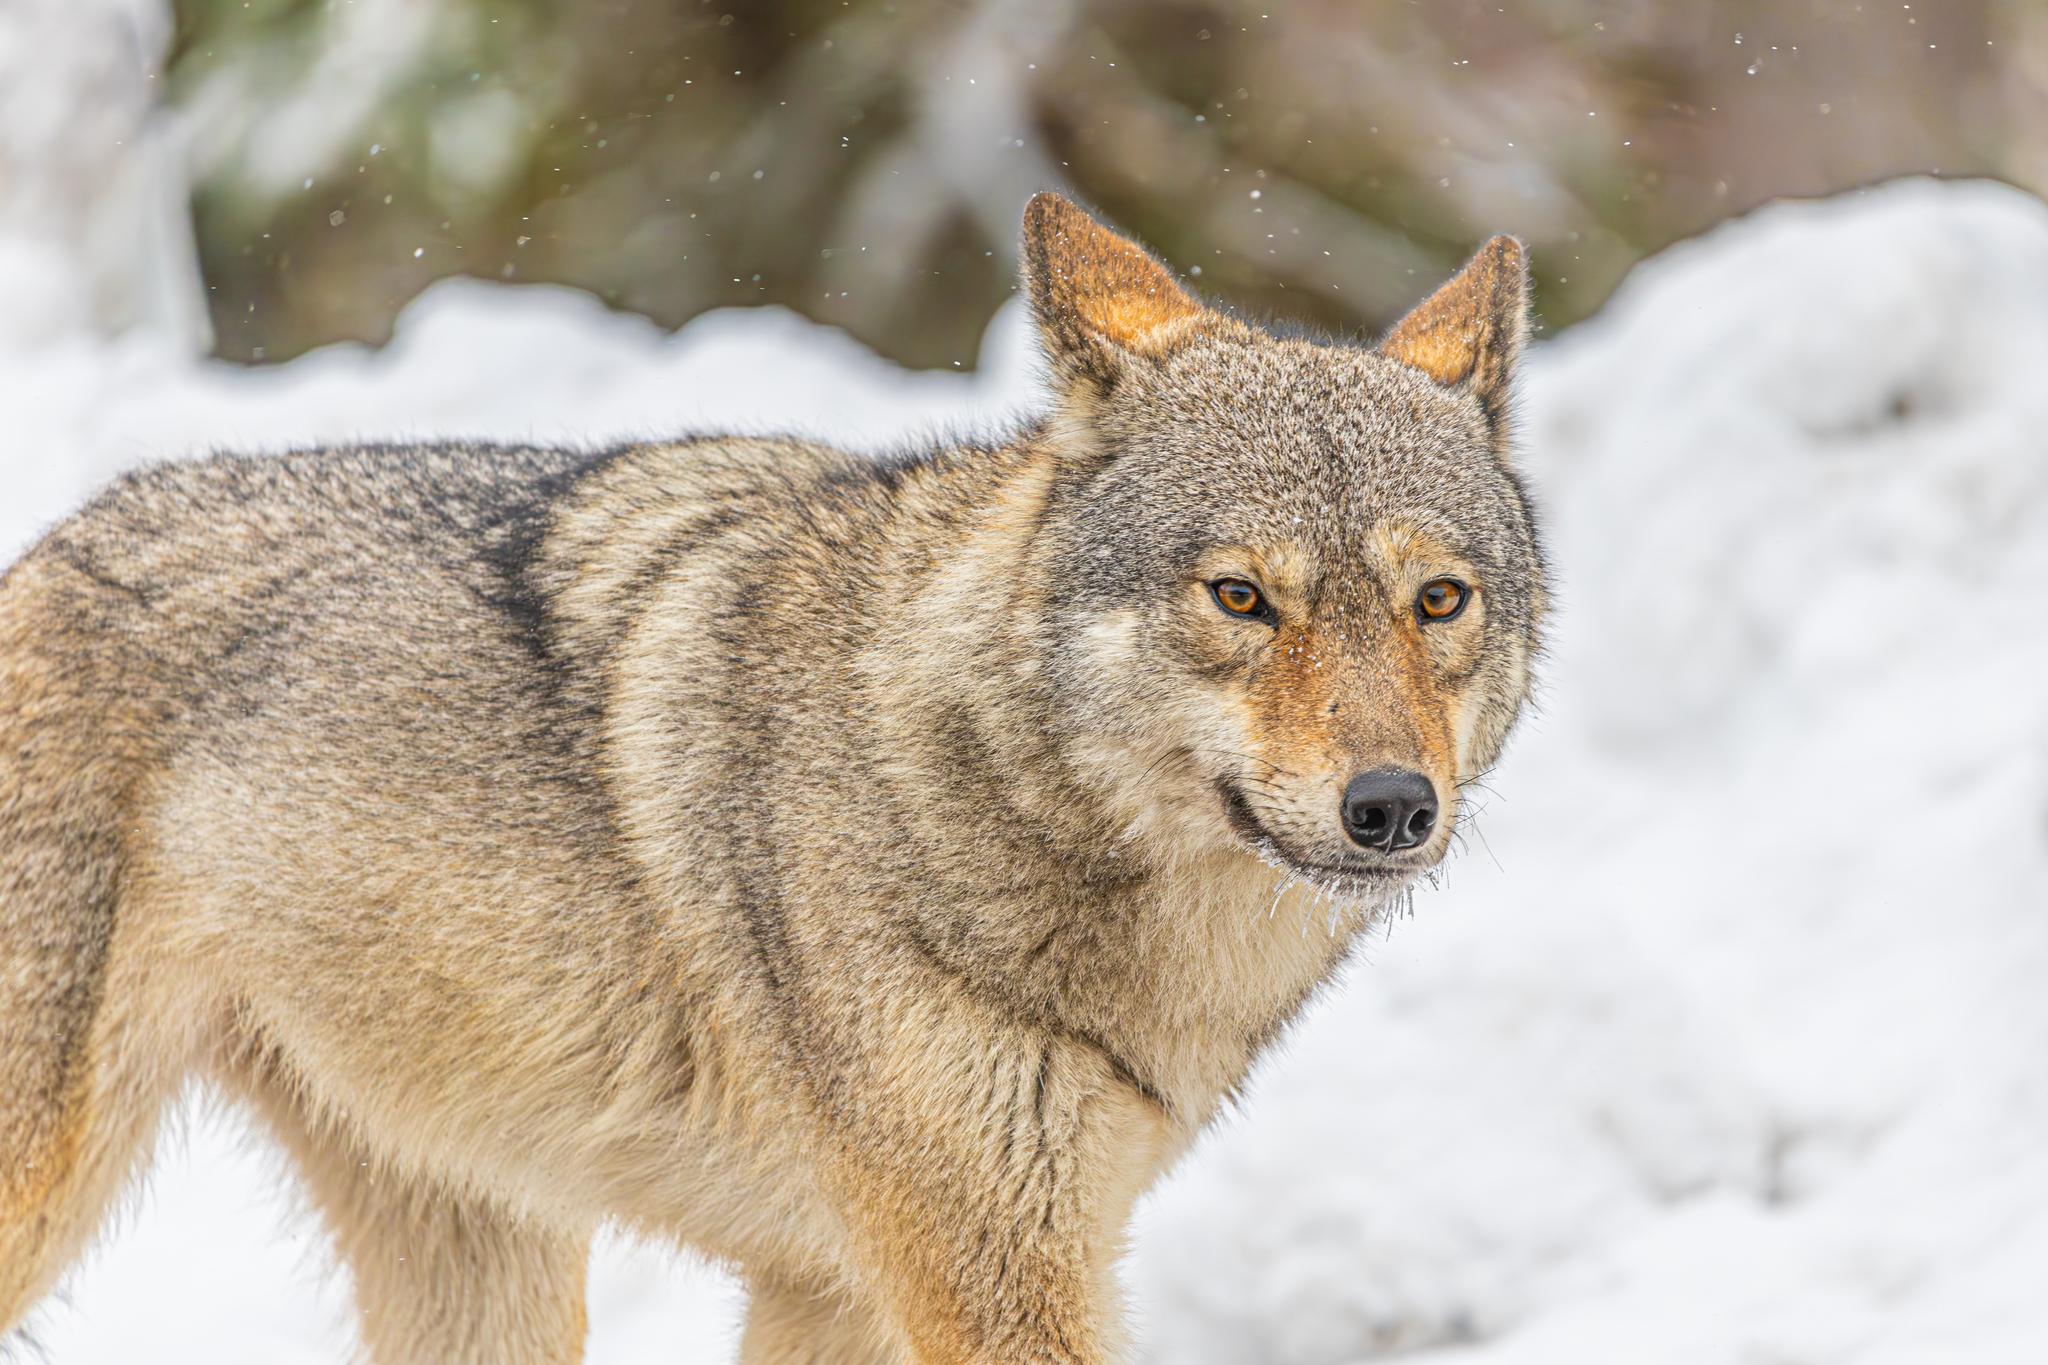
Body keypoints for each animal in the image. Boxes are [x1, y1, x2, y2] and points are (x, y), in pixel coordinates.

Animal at [0, 192, 1546, 1362]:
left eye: (1437, 601)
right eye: (1240, 596)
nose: (1391, 807)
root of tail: (50, 543)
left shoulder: (841, 1287)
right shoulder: (977, 1276)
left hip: (489, 1258)